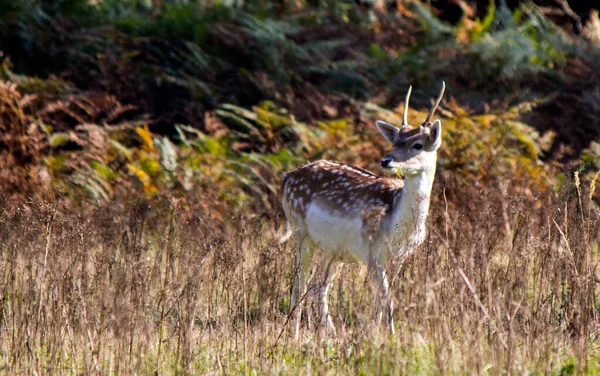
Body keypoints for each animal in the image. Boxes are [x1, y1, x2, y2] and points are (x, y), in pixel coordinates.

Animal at [282, 81, 446, 334]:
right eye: (394, 141)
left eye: (418, 144)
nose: (386, 160)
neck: (399, 225)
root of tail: (287, 177)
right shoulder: (371, 249)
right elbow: (385, 297)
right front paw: (389, 336)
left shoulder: (400, 257)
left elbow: (384, 297)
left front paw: (375, 332)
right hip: (301, 231)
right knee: (299, 282)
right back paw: (296, 332)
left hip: (334, 249)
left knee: (319, 285)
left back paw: (331, 332)